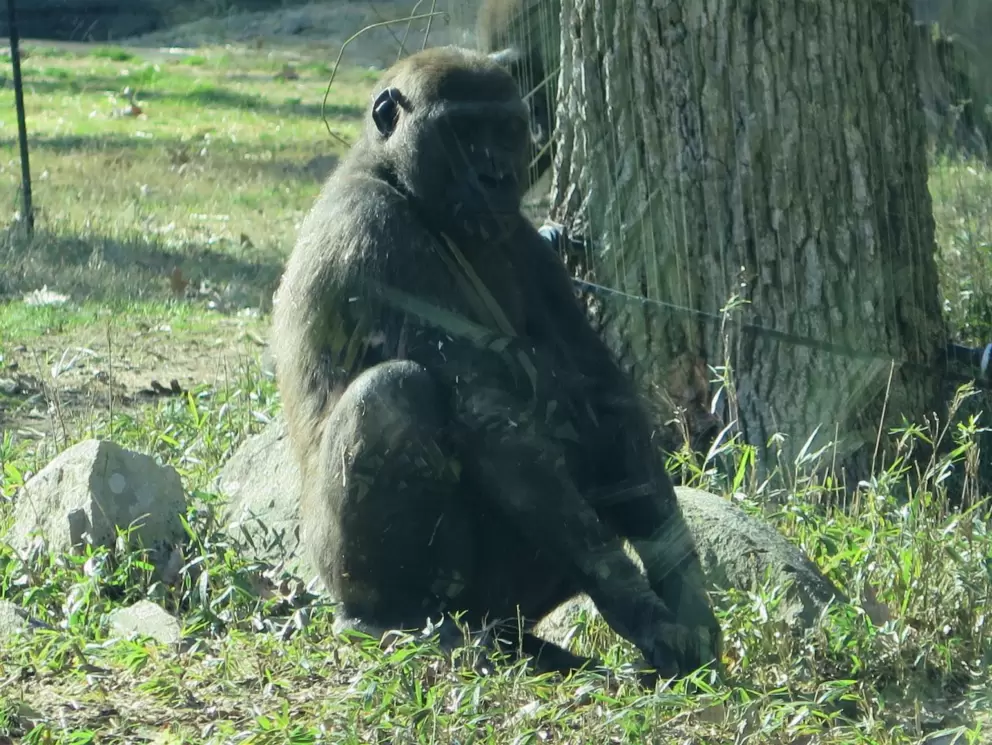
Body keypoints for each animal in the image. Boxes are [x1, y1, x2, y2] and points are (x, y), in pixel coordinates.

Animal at [270, 45, 721, 683]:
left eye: (506, 131)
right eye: (463, 133)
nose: (495, 176)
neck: (393, 175)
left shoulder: (530, 241)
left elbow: (604, 400)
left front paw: (686, 600)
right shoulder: (374, 232)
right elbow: (488, 413)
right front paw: (643, 612)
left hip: (497, 605)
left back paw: (524, 644)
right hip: (340, 572)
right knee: (393, 393)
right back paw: (387, 616)